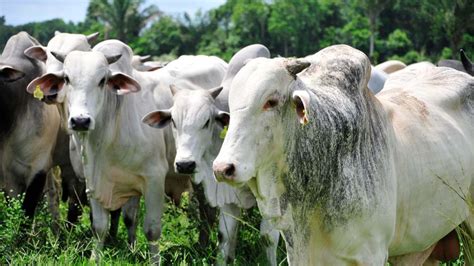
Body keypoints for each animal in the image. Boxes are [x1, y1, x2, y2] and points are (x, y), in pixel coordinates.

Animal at [26, 49, 168, 262]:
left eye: (102, 81)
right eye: (66, 79)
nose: (80, 121)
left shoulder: (154, 180)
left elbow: (152, 230)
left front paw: (154, 261)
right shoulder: (93, 180)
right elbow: (100, 227)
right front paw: (95, 259)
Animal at [143, 44, 280, 264]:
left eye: (207, 121)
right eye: (173, 121)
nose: (185, 164)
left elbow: (268, 237)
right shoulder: (226, 195)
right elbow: (225, 237)